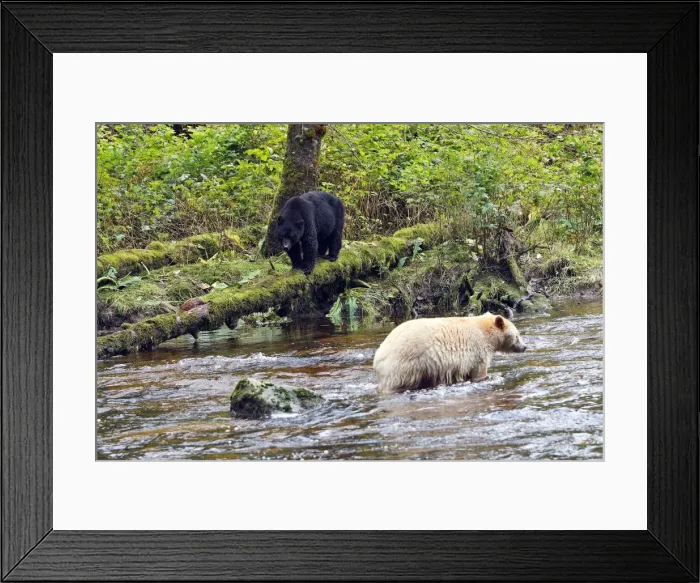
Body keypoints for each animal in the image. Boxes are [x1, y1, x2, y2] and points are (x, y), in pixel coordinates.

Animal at [373, 313, 526, 393]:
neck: (485, 332)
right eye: (517, 335)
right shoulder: (478, 350)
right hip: (405, 365)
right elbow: (479, 372)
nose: (525, 347)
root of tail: (378, 356)